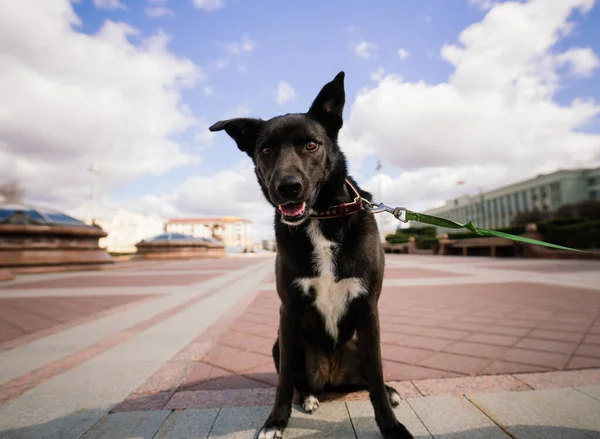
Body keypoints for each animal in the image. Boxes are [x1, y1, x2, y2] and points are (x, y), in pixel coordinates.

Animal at [210, 70, 412, 438]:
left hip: (359, 340)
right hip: (279, 342)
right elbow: (285, 380)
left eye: (311, 145)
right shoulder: (288, 310)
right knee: (299, 380)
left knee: (368, 378)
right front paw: (276, 421)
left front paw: (391, 425)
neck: (321, 219)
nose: (287, 187)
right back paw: (308, 397)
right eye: (267, 149)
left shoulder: (368, 307)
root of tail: (331, 377)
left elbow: (376, 377)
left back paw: (389, 392)